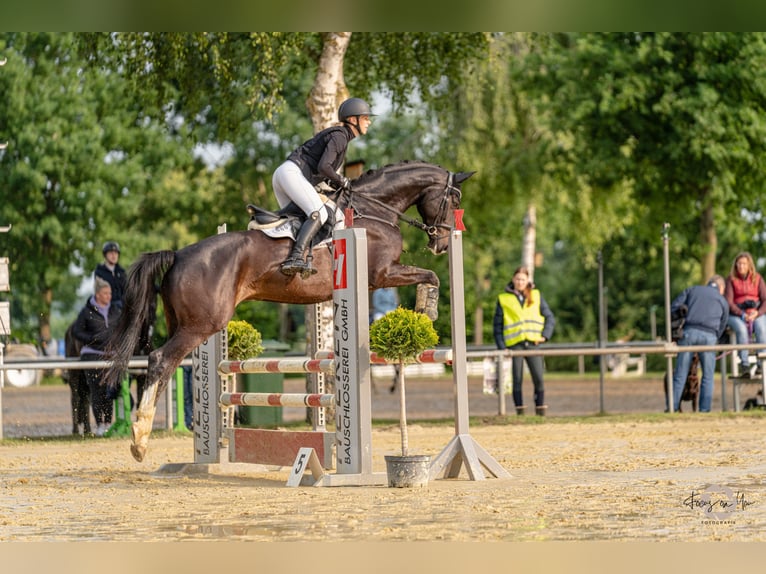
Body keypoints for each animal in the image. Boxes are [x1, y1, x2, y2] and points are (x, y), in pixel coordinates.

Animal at [104, 160, 474, 462]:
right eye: (454, 200)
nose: (441, 244)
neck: (373, 212)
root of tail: (179, 254)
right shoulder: (382, 274)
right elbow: (430, 275)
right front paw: (426, 310)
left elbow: (428, 275)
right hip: (202, 324)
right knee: (160, 360)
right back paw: (139, 441)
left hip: (181, 322)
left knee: (168, 366)